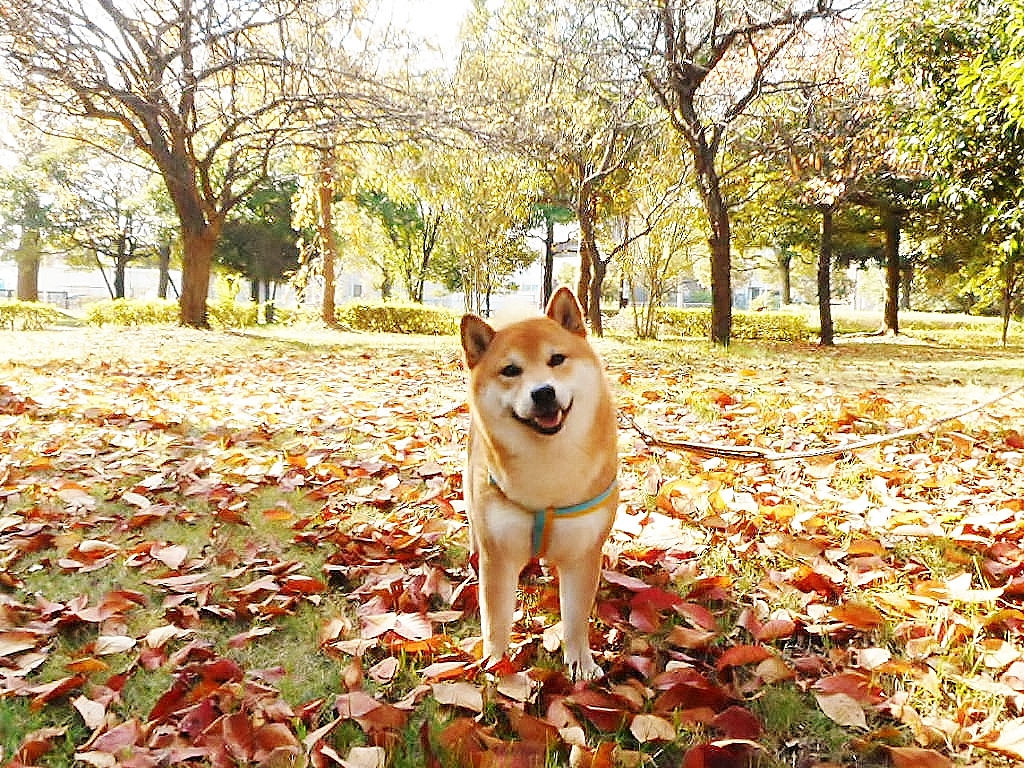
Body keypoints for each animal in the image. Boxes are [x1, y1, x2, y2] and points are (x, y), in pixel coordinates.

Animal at [462, 286, 618, 679]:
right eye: (510, 370)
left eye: (557, 359)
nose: (543, 392)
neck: (547, 470)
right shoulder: (499, 557)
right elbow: (496, 620)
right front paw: (496, 664)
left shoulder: (582, 554)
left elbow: (576, 617)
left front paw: (581, 663)